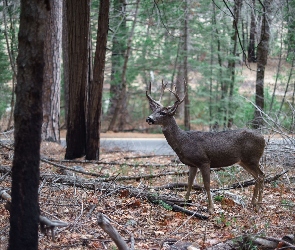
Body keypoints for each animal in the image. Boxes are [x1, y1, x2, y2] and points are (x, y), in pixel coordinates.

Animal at [146, 80, 266, 213]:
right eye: (153, 111)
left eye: (162, 113)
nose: (149, 118)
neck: (184, 141)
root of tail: (263, 138)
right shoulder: (192, 164)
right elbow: (189, 182)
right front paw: (185, 202)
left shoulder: (204, 161)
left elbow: (207, 184)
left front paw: (211, 208)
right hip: (244, 161)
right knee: (257, 177)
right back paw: (253, 202)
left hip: (252, 158)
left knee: (261, 176)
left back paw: (258, 204)